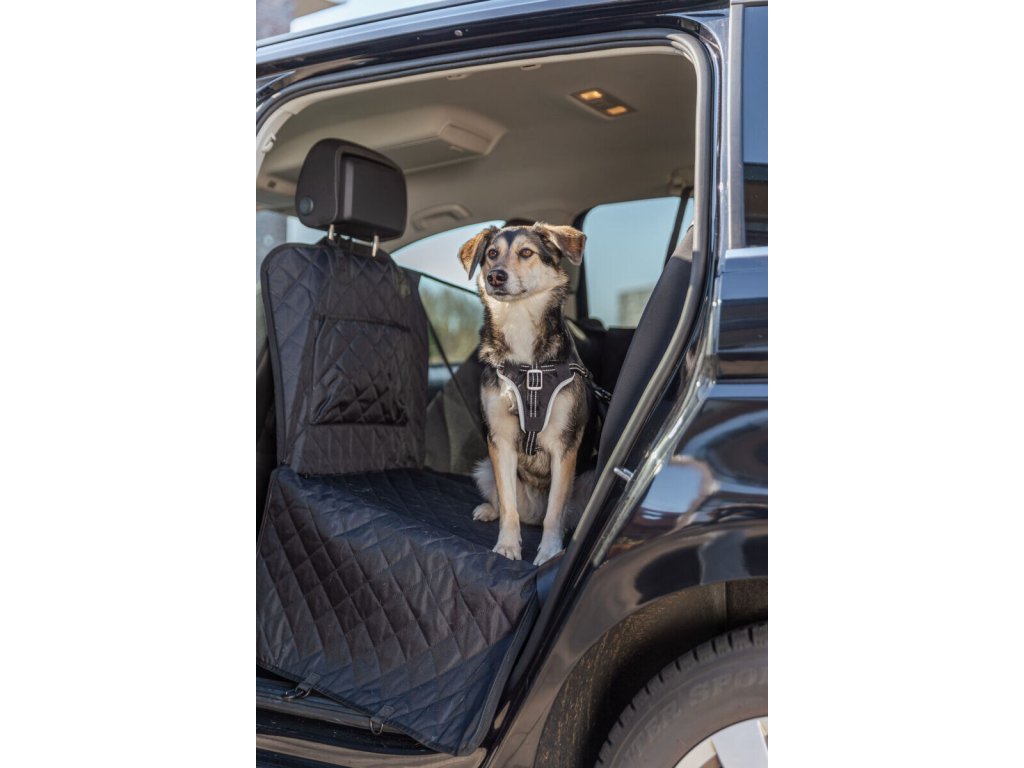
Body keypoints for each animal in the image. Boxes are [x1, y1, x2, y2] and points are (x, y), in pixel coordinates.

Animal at [458, 223, 595, 566]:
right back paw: (489, 509)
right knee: (509, 504)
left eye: (526, 252)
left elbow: (555, 513)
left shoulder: (564, 446)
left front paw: (548, 552)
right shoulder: (500, 441)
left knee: (554, 514)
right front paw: (507, 547)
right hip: (484, 469)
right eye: (491, 254)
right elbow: (509, 506)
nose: (495, 276)